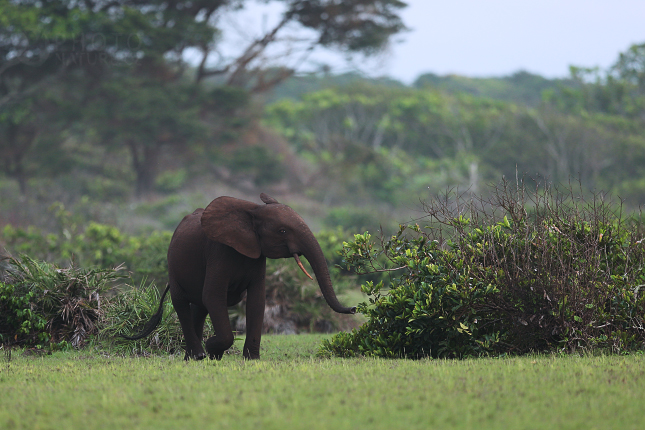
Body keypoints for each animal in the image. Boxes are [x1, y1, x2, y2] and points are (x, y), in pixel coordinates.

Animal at [123, 192, 354, 360]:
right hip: (173, 264)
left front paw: (251, 359)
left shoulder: (258, 256)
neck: (253, 211)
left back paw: (192, 358)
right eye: (282, 231)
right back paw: (199, 355)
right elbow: (213, 296)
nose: (353, 309)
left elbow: (257, 300)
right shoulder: (218, 251)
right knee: (182, 303)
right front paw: (213, 349)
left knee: (199, 308)